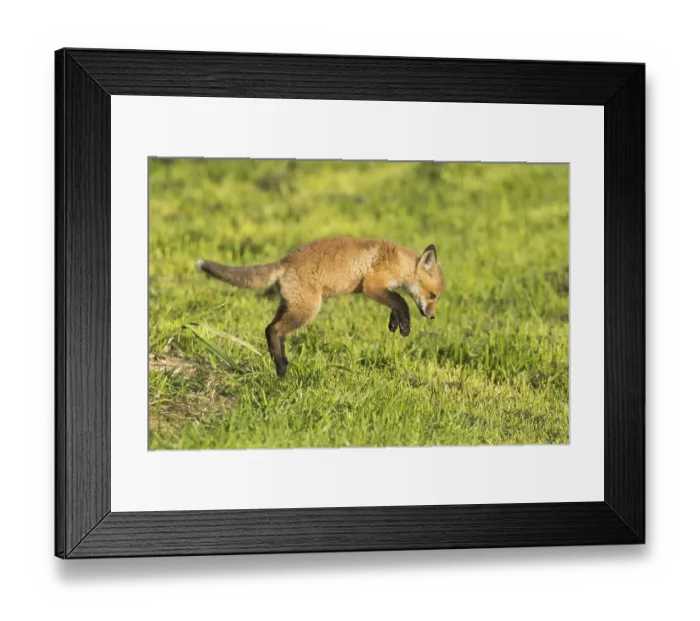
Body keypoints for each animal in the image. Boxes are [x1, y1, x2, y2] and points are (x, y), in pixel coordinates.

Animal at [196, 237, 445, 377]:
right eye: (432, 296)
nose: (432, 317)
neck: (397, 261)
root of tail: (286, 260)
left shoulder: (381, 289)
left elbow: (396, 304)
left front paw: (396, 324)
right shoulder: (371, 285)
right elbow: (401, 301)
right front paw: (405, 324)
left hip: (289, 306)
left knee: (270, 329)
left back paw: (281, 363)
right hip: (307, 310)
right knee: (273, 330)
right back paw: (281, 368)